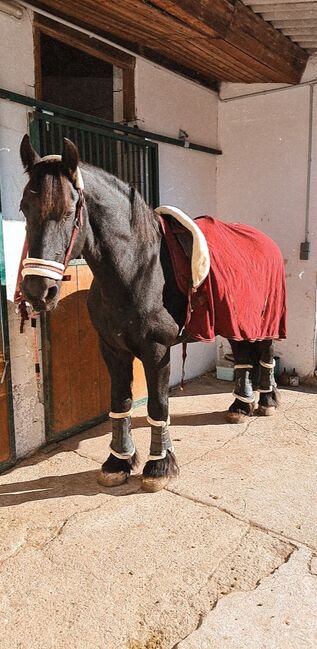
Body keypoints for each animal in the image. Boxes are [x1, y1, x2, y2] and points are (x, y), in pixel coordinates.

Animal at [19, 137, 282, 492]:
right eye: (24, 208)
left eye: (69, 212)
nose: (37, 291)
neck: (138, 269)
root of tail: (266, 242)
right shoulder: (112, 349)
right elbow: (120, 403)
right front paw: (118, 462)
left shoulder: (156, 351)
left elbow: (158, 405)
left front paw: (160, 466)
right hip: (235, 321)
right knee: (242, 356)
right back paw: (241, 405)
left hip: (263, 320)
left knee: (265, 353)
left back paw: (267, 401)